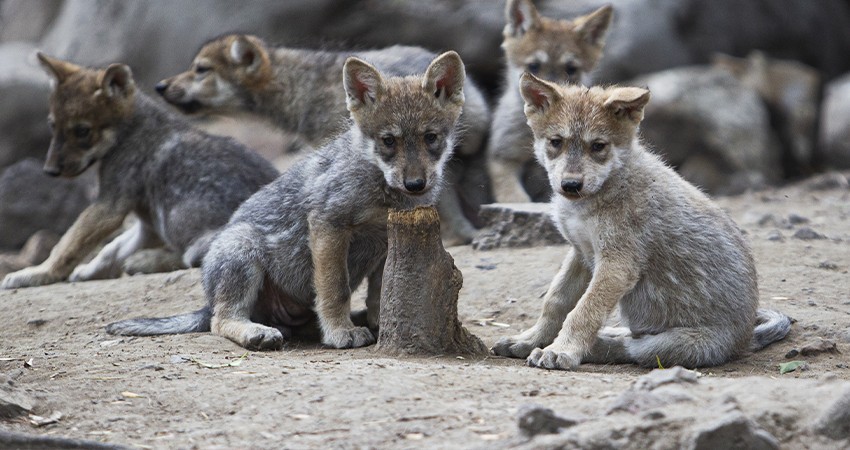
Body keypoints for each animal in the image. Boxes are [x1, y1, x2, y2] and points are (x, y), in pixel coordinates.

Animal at [1, 54, 278, 290]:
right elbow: (110, 249)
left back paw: (145, 262)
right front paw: (88, 271)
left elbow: (66, 246)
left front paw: (36, 273)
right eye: (53, 126)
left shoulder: (109, 207)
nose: (49, 171)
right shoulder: (147, 224)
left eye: (82, 131)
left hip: (208, 242)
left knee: (192, 259)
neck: (129, 131)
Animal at [106, 51, 467, 350]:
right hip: (242, 249)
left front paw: (382, 326)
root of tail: (205, 301)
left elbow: (383, 293)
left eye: (431, 138)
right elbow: (336, 289)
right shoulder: (327, 225)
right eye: (389, 141)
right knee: (219, 321)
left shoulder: (388, 240)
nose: (416, 184)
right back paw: (258, 334)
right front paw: (340, 333)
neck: (383, 191)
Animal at [492, 73, 791, 369]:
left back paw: (596, 345)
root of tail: (745, 340)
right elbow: (555, 301)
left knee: (631, 348)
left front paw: (560, 350)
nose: (571, 185)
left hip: (673, 344)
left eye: (598, 146)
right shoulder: (581, 253)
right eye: (556, 142)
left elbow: (583, 311)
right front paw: (531, 339)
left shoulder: (617, 265)